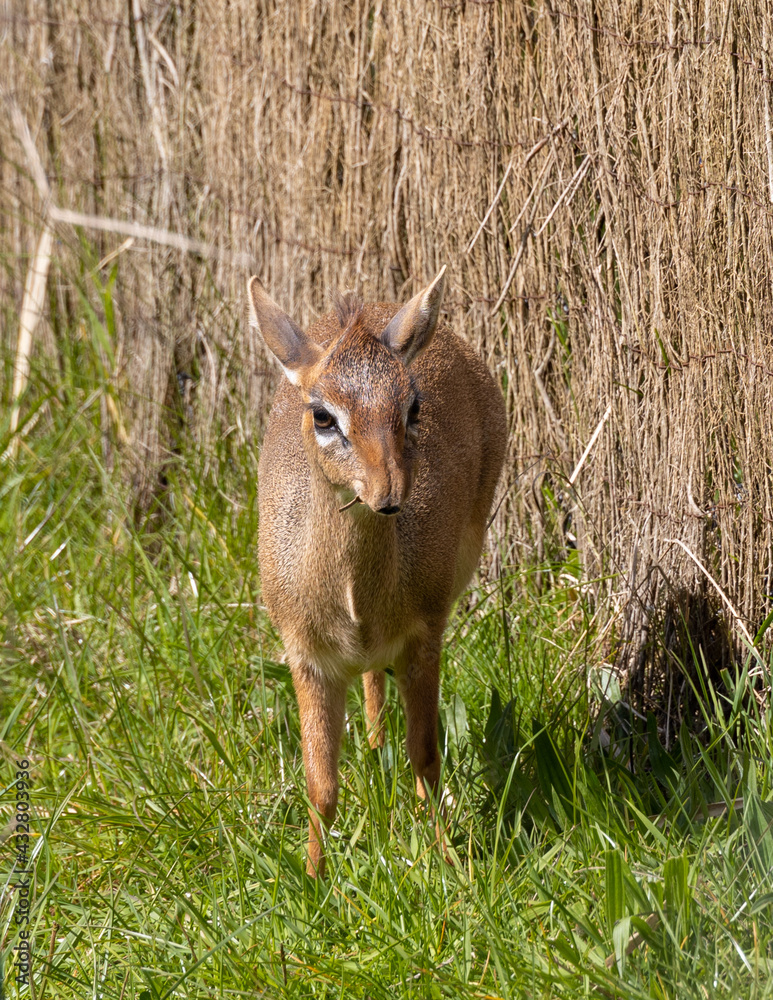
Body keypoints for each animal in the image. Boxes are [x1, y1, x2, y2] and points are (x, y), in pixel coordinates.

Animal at [248, 268, 506, 876]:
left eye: (412, 407)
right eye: (323, 414)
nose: (389, 495)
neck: (355, 608)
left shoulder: (424, 637)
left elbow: (427, 756)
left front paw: (447, 863)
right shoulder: (306, 658)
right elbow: (320, 786)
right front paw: (313, 880)